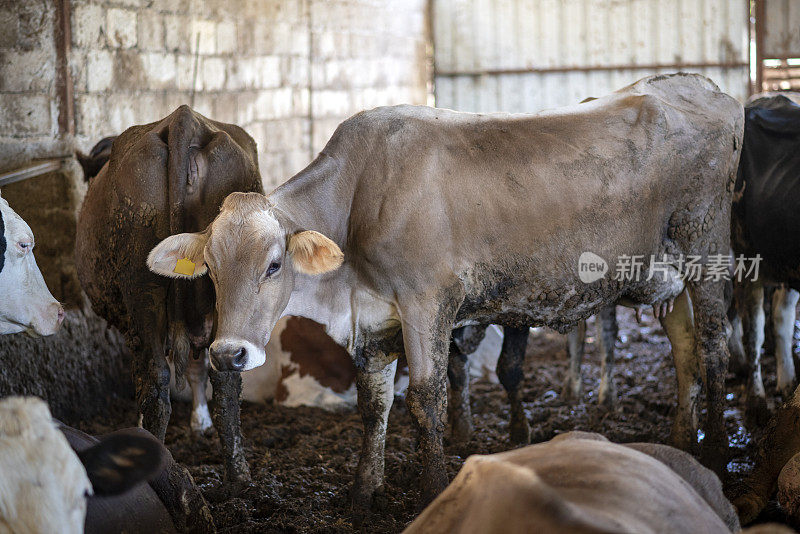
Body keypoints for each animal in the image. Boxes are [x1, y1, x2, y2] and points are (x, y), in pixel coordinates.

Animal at [74, 105, 262, 494]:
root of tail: (183, 119)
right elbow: (197, 367)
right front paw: (199, 423)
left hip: (142, 285)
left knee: (155, 380)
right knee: (225, 379)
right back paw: (238, 477)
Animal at [148, 73, 744, 508]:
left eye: (274, 265)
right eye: (211, 270)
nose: (228, 354)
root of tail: (699, 87)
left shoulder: (427, 301)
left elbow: (426, 397)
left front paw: (433, 488)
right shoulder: (375, 316)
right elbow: (374, 403)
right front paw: (364, 492)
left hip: (705, 246)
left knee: (714, 345)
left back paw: (717, 451)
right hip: (667, 275)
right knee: (686, 349)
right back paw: (681, 439)